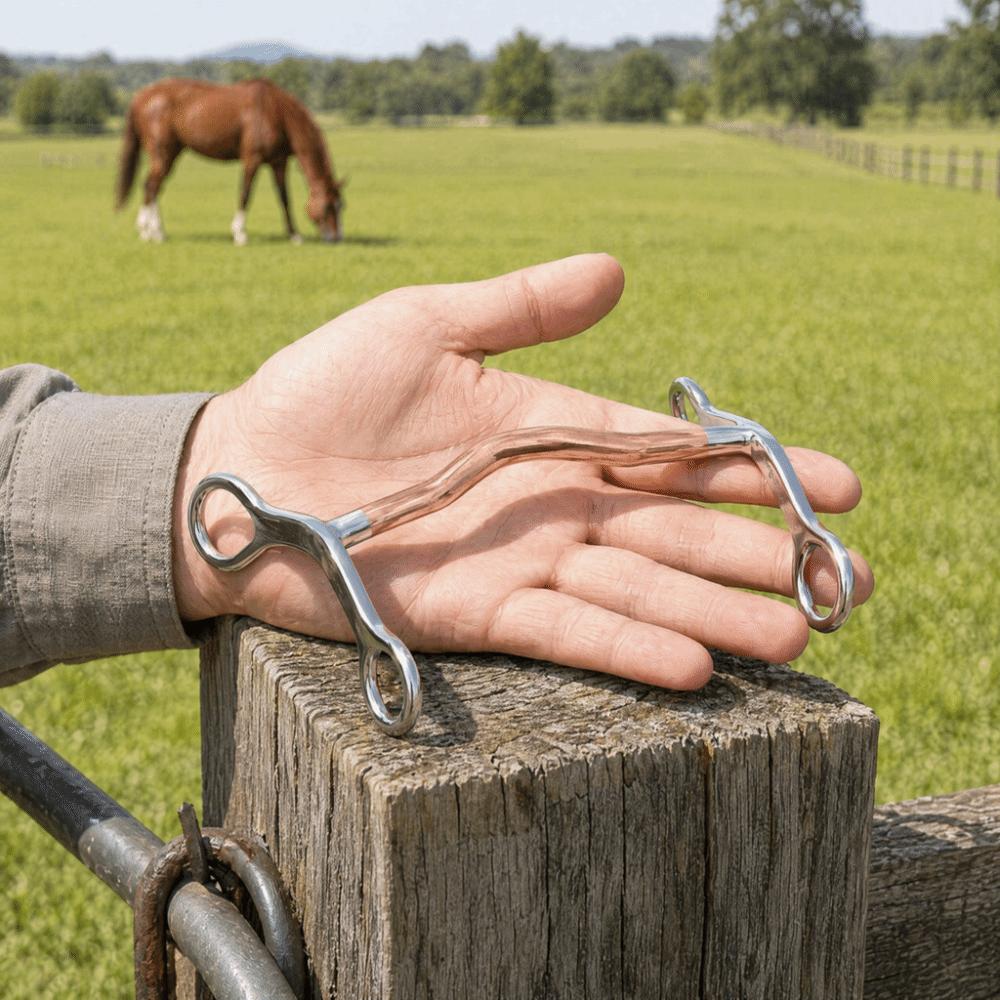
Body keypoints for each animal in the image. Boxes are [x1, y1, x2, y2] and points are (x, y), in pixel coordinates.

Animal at [115, 78, 345, 245]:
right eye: (327, 207)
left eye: (341, 206)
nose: (336, 238)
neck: (276, 112)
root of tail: (141, 96)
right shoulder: (252, 160)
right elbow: (245, 194)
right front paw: (240, 234)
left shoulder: (278, 163)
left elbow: (284, 199)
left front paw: (294, 235)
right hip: (163, 155)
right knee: (151, 186)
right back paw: (152, 233)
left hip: (170, 155)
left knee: (153, 187)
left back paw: (153, 231)